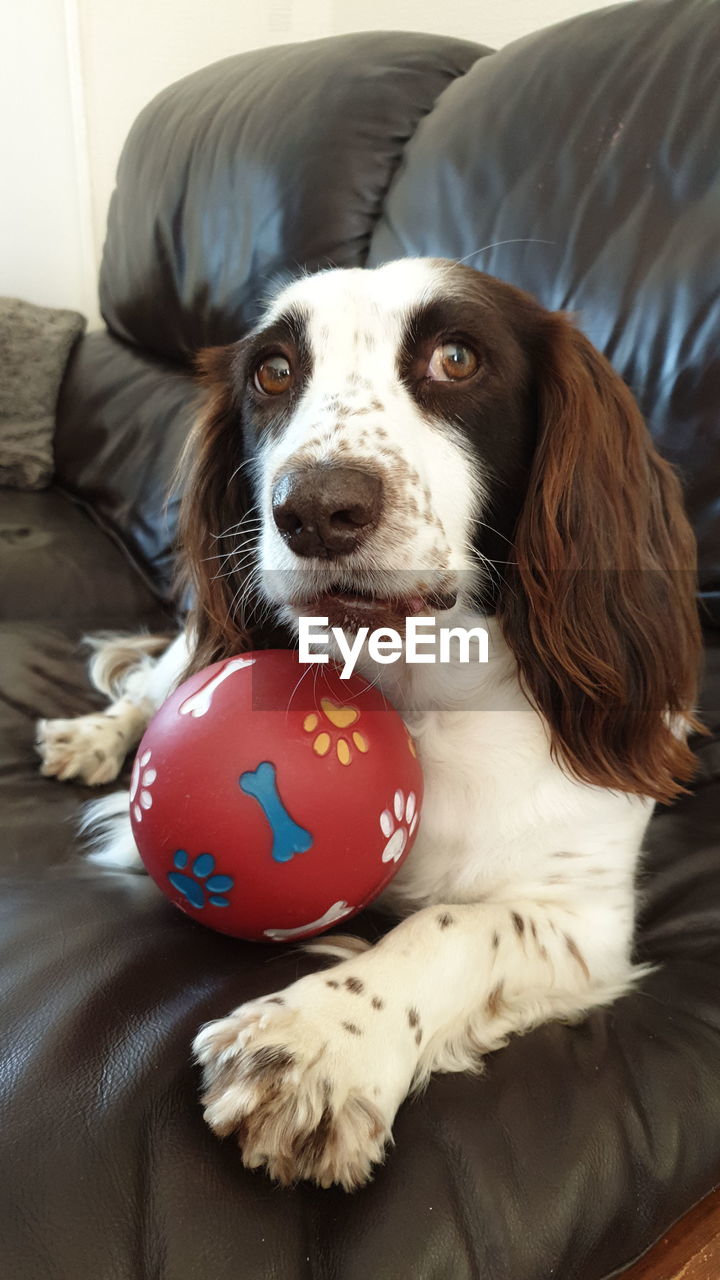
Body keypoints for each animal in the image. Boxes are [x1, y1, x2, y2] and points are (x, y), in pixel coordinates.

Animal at [36, 257, 696, 1187]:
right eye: (274, 372)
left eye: (457, 357)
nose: (314, 508)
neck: (421, 692)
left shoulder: (584, 916)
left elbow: (455, 927)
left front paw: (323, 1043)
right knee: (155, 680)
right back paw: (91, 736)